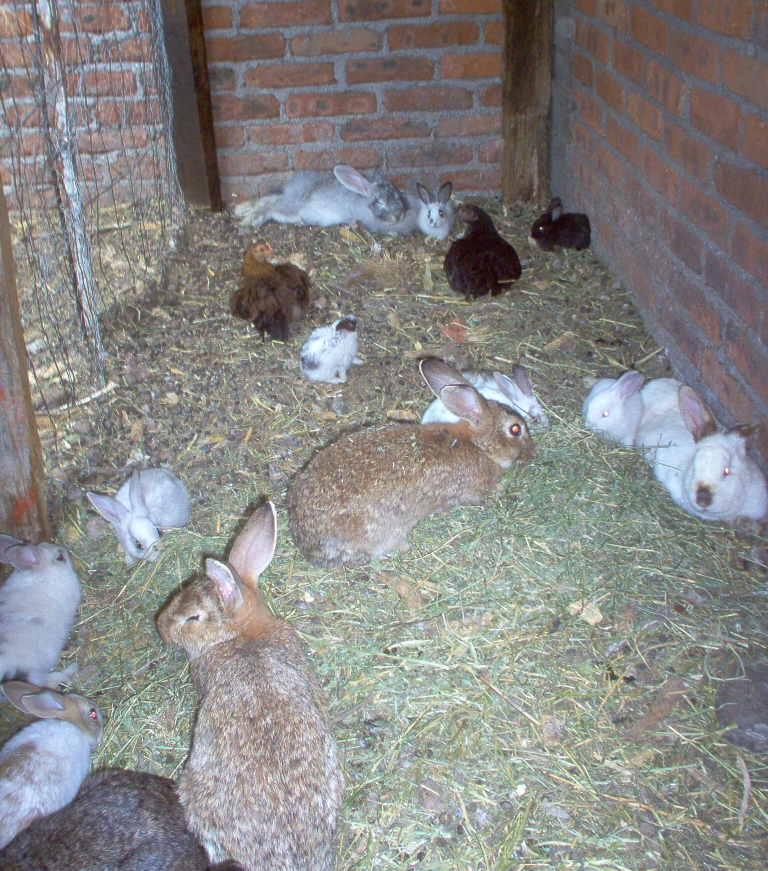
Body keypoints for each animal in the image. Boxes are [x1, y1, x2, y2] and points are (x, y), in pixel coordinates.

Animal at [233, 164, 409, 234]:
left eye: (397, 194)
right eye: (380, 201)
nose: (400, 215)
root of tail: (290, 192)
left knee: (264, 201)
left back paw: (240, 211)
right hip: (289, 208)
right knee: (270, 208)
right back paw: (248, 221)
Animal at [288, 358, 535, 568]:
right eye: (515, 429)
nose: (531, 452)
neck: (479, 445)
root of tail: (308, 544)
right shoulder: (467, 491)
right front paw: (499, 488)